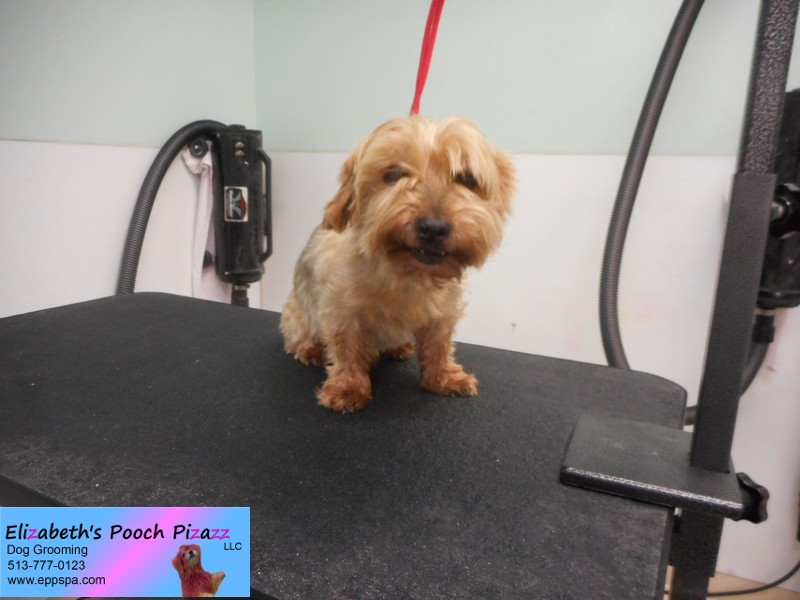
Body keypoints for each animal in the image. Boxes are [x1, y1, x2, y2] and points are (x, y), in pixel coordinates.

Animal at [280, 115, 515, 413]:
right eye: (393, 175)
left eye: (466, 178)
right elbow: (347, 349)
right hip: (296, 314)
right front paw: (348, 388)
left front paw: (443, 377)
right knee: (300, 335)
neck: (408, 272)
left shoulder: (443, 314)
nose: (433, 228)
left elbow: (438, 346)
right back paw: (310, 349)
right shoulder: (341, 311)